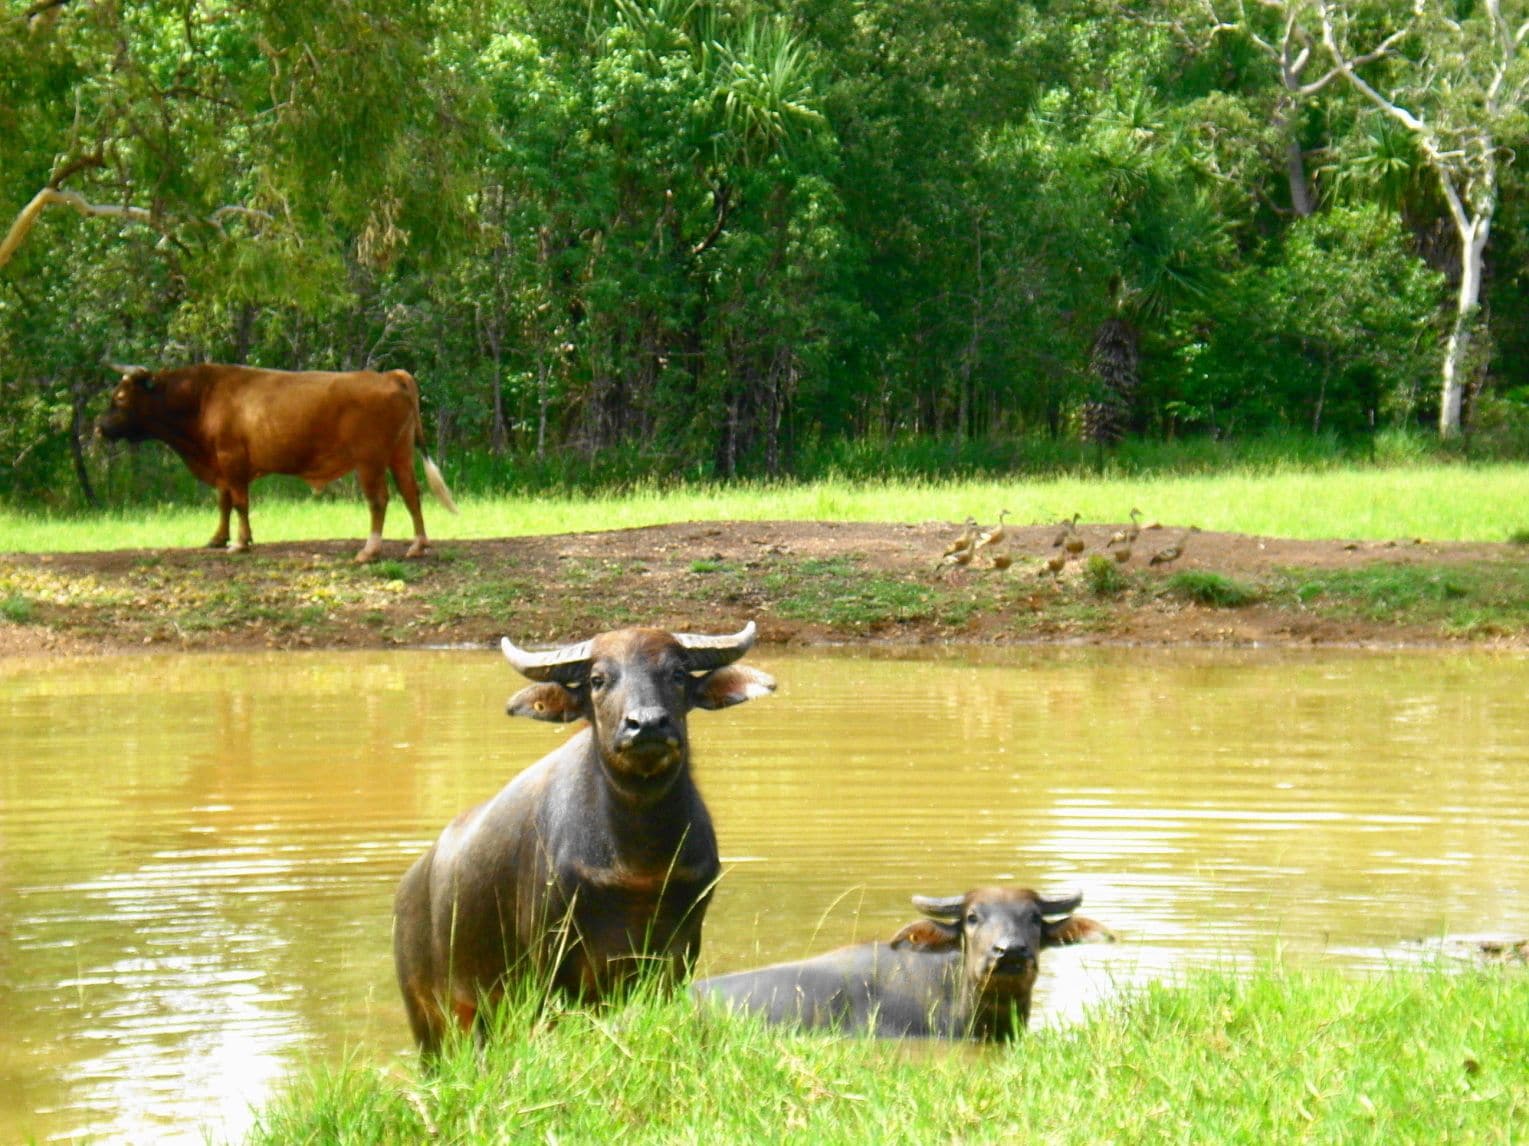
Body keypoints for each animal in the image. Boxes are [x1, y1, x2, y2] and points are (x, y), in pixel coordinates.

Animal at [94, 365, 449, 562]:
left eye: (121, 398)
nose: (99, 427)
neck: (204, 396)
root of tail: (390, 375)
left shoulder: (231, 460)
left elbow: (239, 502)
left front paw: (240, 543)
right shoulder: (222, 466)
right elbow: (224, 502)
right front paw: (218, 538)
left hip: (370, 460)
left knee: (379, 500)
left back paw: (369, 551)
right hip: (400, 454)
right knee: (411, 493)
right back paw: (418, 545)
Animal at [394, 623, 776, 1057]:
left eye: (677, 673)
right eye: (598, 679)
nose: (647, 724)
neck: (639, 862)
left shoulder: (678, 952)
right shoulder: (551, 964)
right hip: (432, 1019)